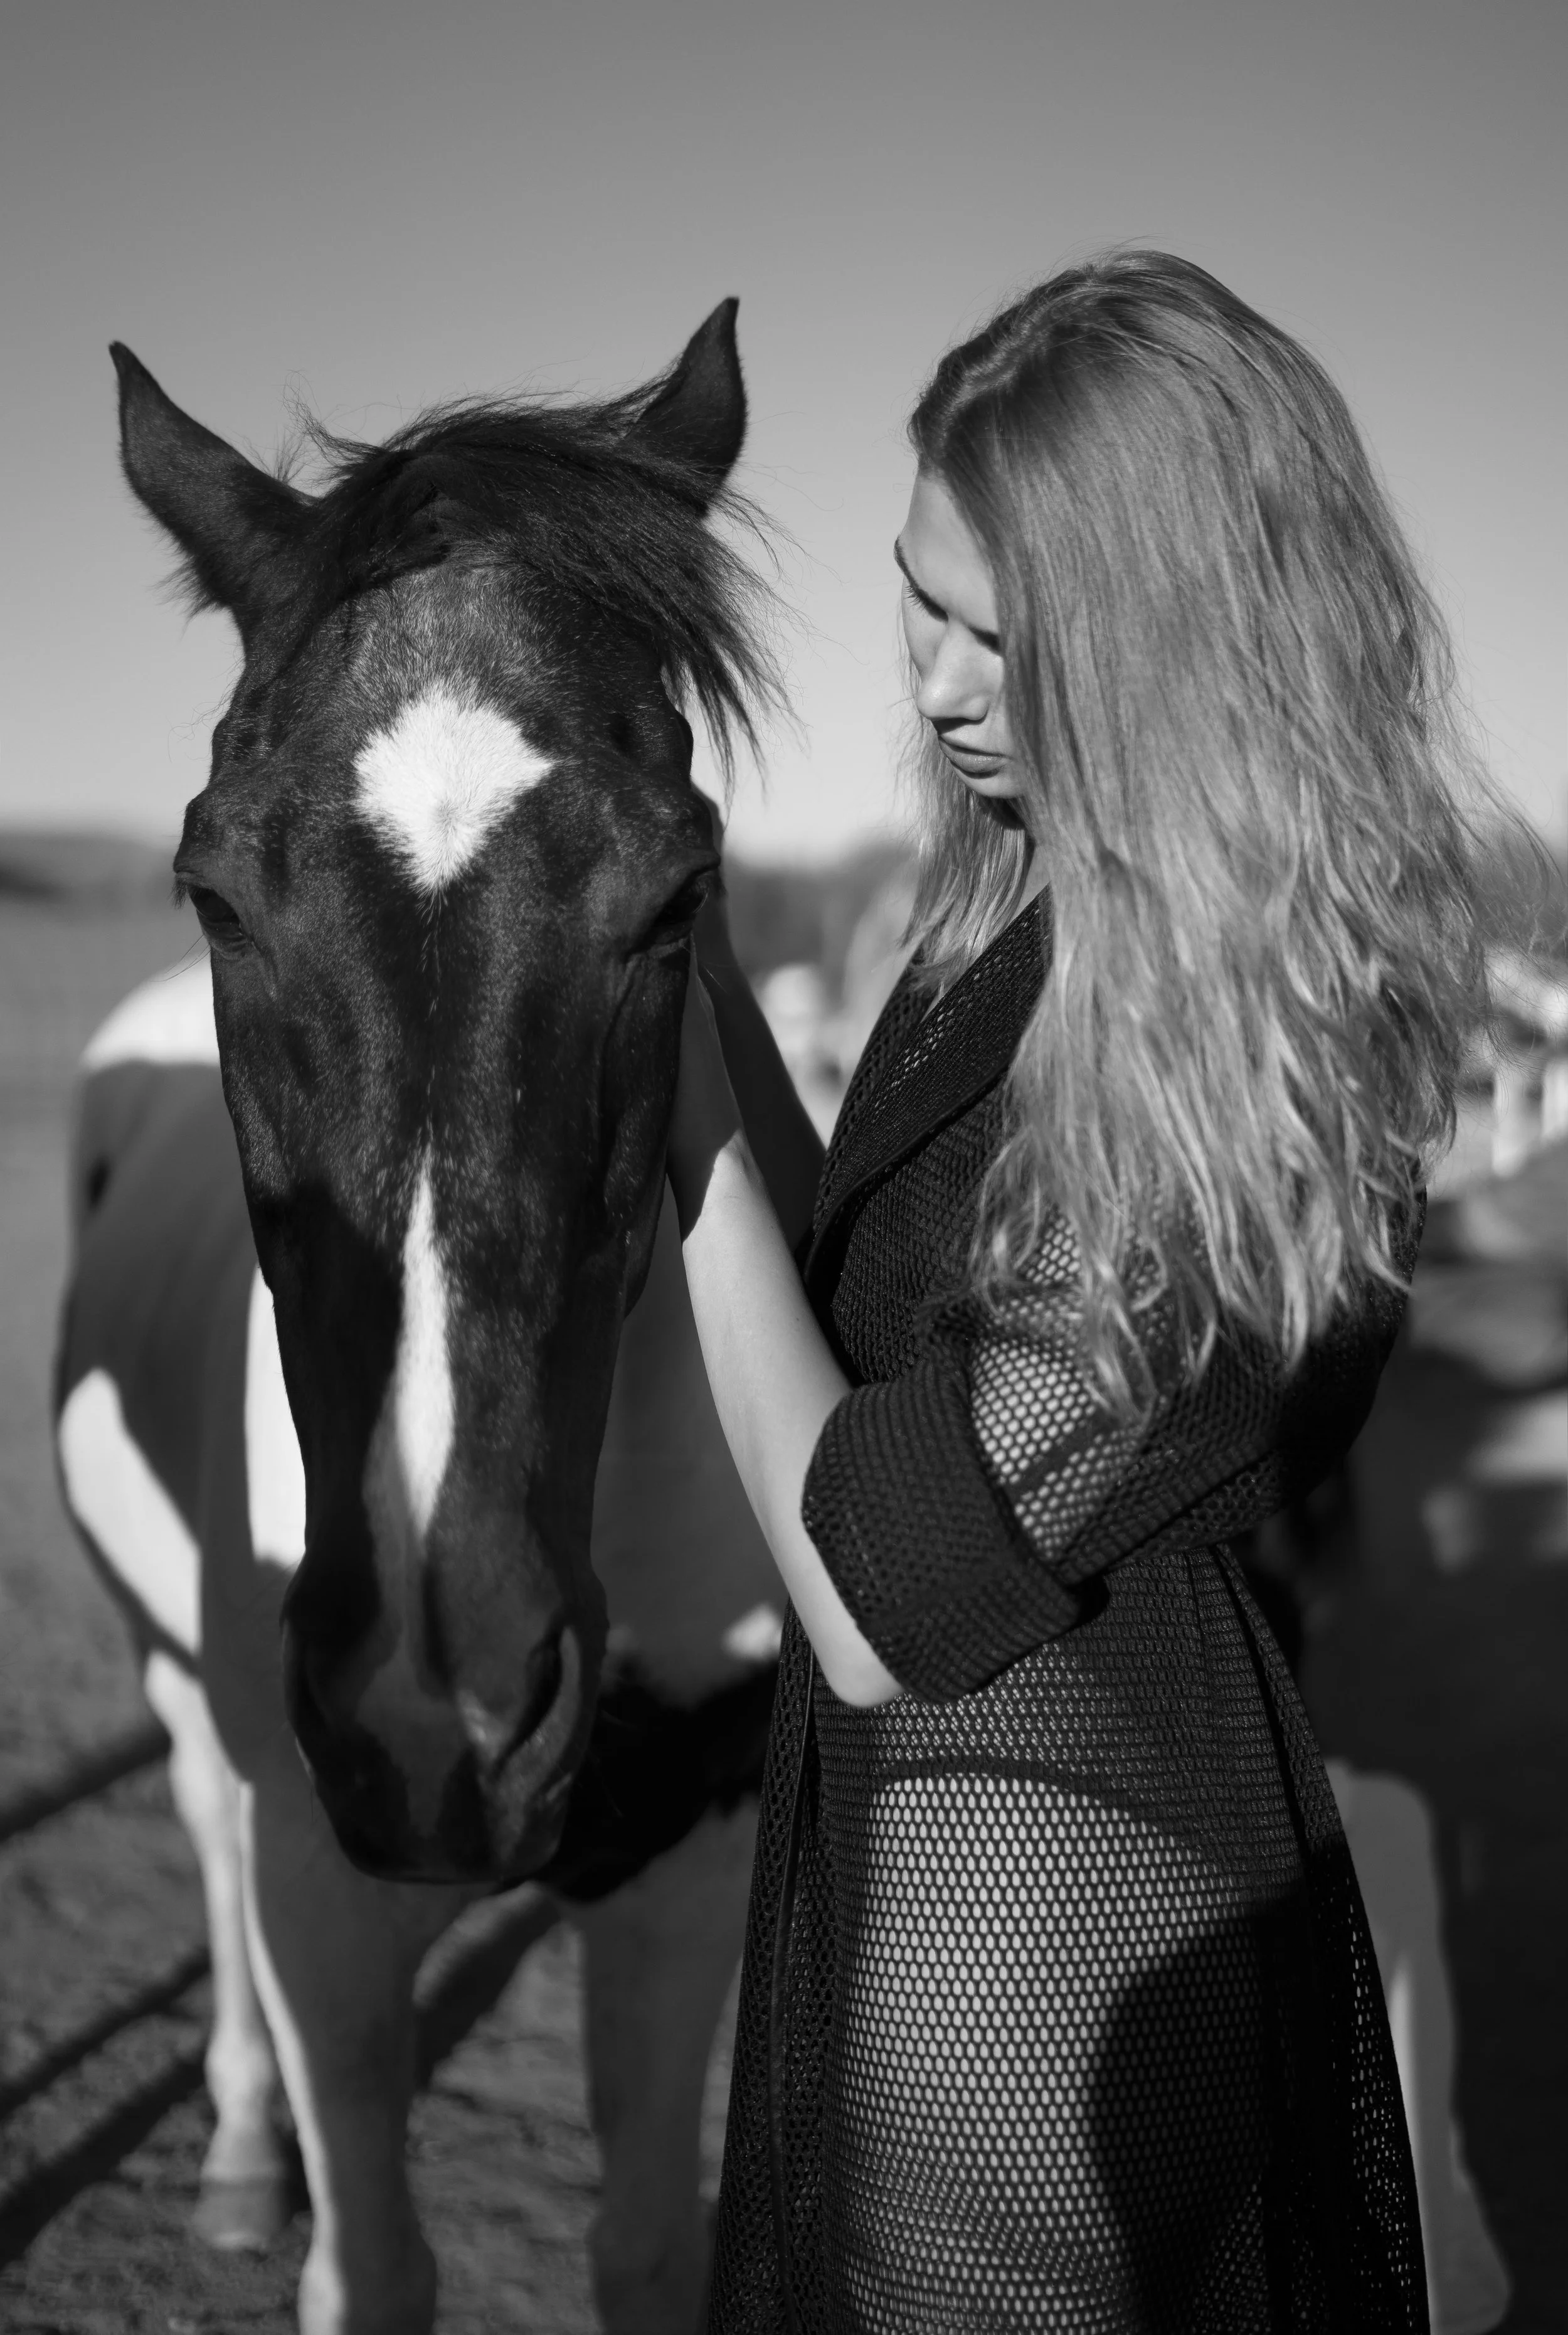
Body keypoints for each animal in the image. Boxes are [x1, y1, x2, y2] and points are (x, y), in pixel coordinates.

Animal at [54, 302, 823, 2335]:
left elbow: (647, 2245)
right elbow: (372, 2258)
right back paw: (242, 2154)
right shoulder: (326, 1879)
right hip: (197, 1704)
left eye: (680, 895)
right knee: (207, 1831)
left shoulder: (684, 1853)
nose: (445, 1699)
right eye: (213, 889)